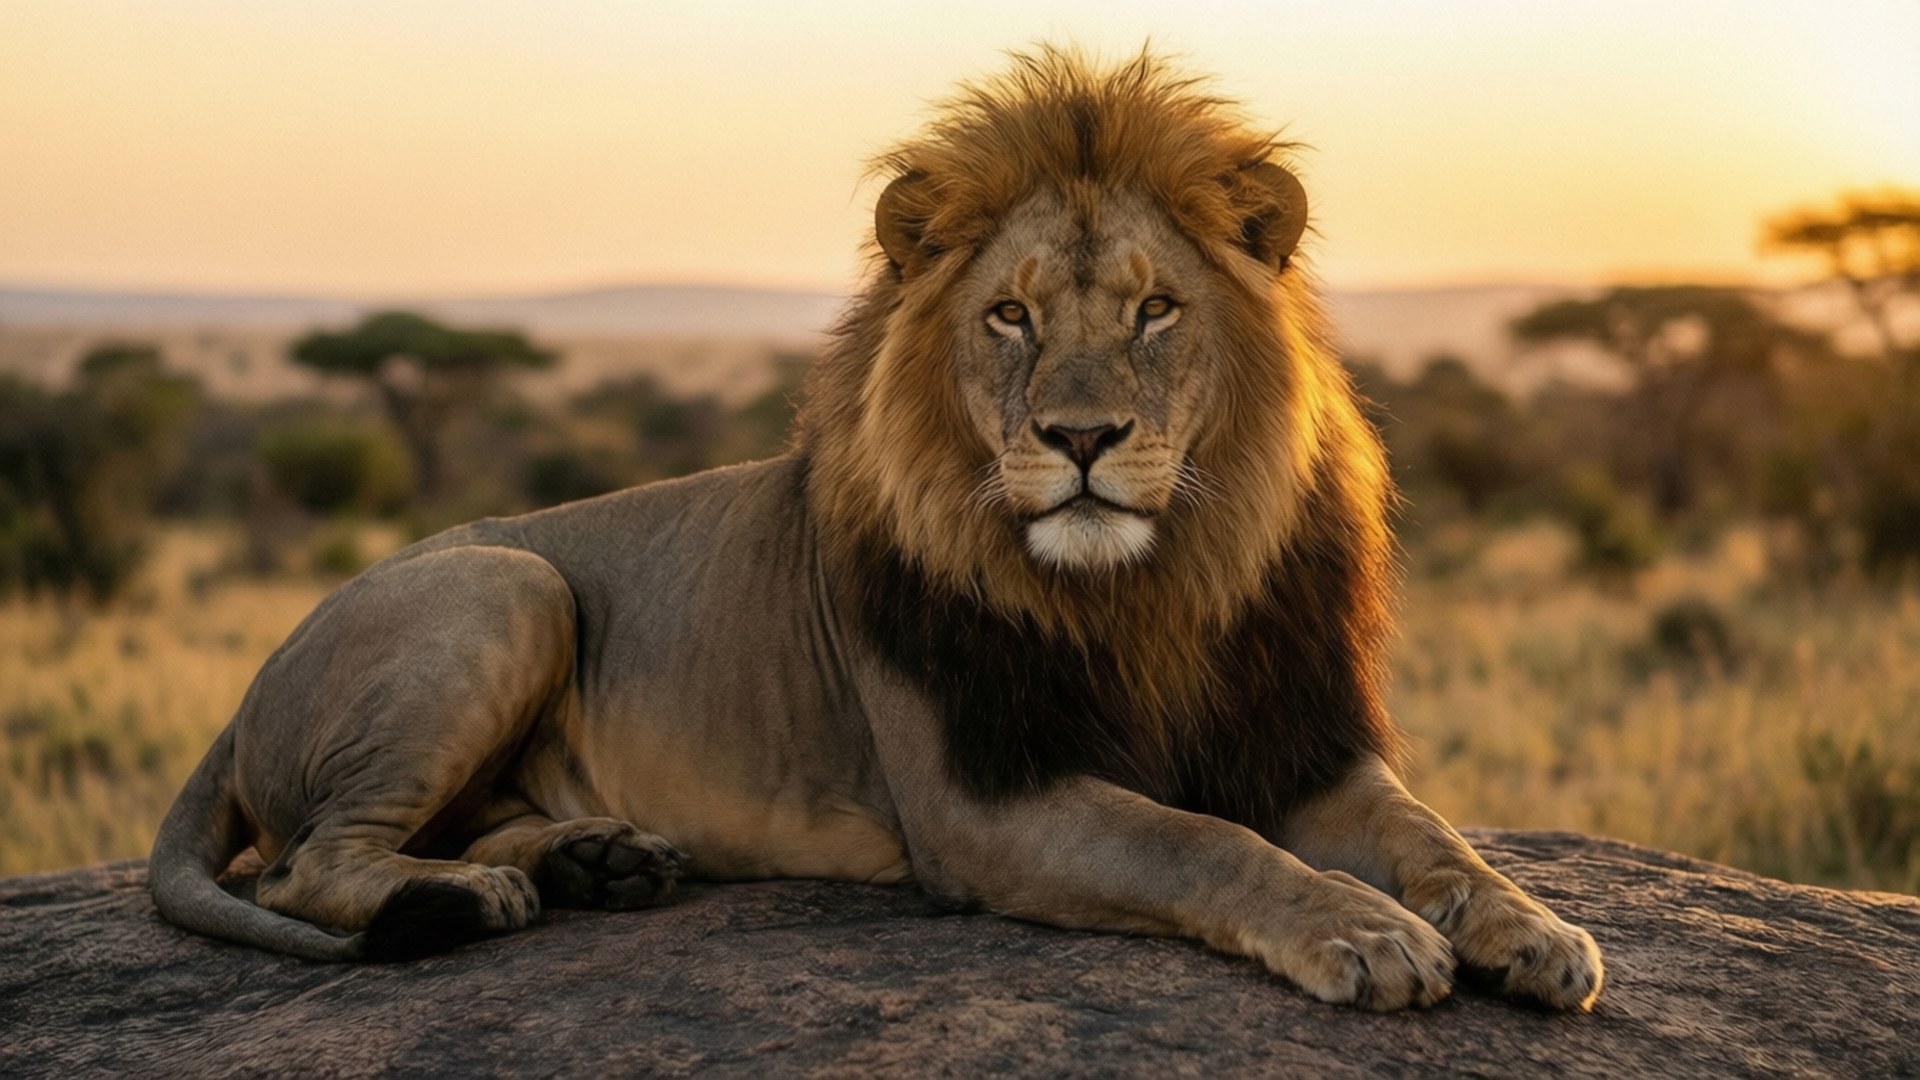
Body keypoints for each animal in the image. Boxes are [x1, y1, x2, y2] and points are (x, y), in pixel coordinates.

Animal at [151, 47, 1603, 1012]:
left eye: (1155, 311)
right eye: (1011, 316)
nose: (1082, 439)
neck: (1147, 591)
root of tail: (260, 674)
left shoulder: (1294, 738)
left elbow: (1433, 836)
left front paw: (1533, 931)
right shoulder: (982, 802)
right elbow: (1199, 840)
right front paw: (1366, 933)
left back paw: (595, 861)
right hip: (506, 586)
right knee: (303, 868)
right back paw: (468, 899)